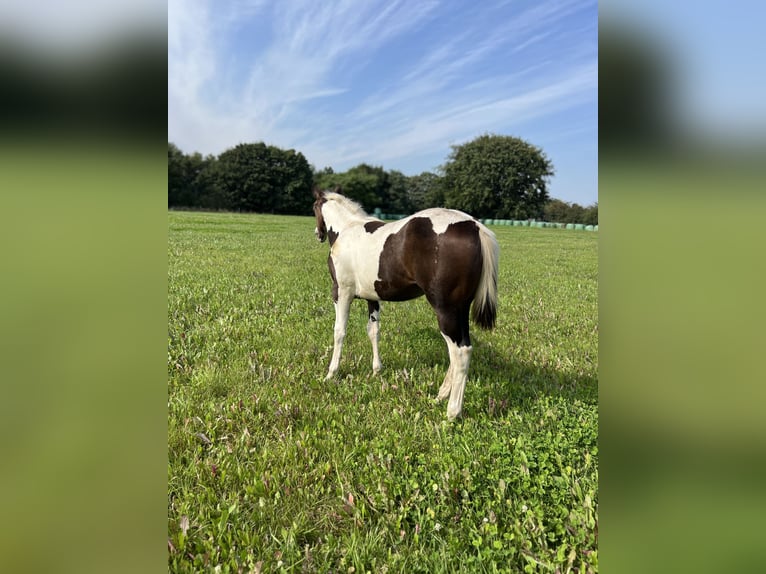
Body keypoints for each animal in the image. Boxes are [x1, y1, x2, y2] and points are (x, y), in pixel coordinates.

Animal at [316, 189, 500, 424]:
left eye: (314, 207)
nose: (318, 233)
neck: (347, 229)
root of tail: (474, 227)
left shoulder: (342, 293)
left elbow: (339, 332)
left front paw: (331, 373)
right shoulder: (372, 298)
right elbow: (373, 331)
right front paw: (376, 370)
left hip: (445, 310)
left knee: (460, 352)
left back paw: (452, 411)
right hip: (460, 310)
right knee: (460, 348)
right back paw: (441, 395)